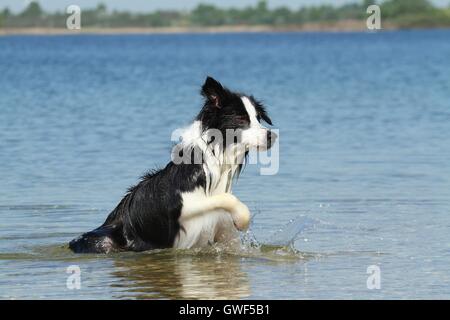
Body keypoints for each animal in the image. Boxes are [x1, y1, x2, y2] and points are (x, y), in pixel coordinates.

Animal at [68, 77, 276, 252]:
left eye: (258, 118)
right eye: (241, 119)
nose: (271, 135)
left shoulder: (222, 230)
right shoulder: (184, 206)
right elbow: (226, 199)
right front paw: (242, 218)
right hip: (100, 240)